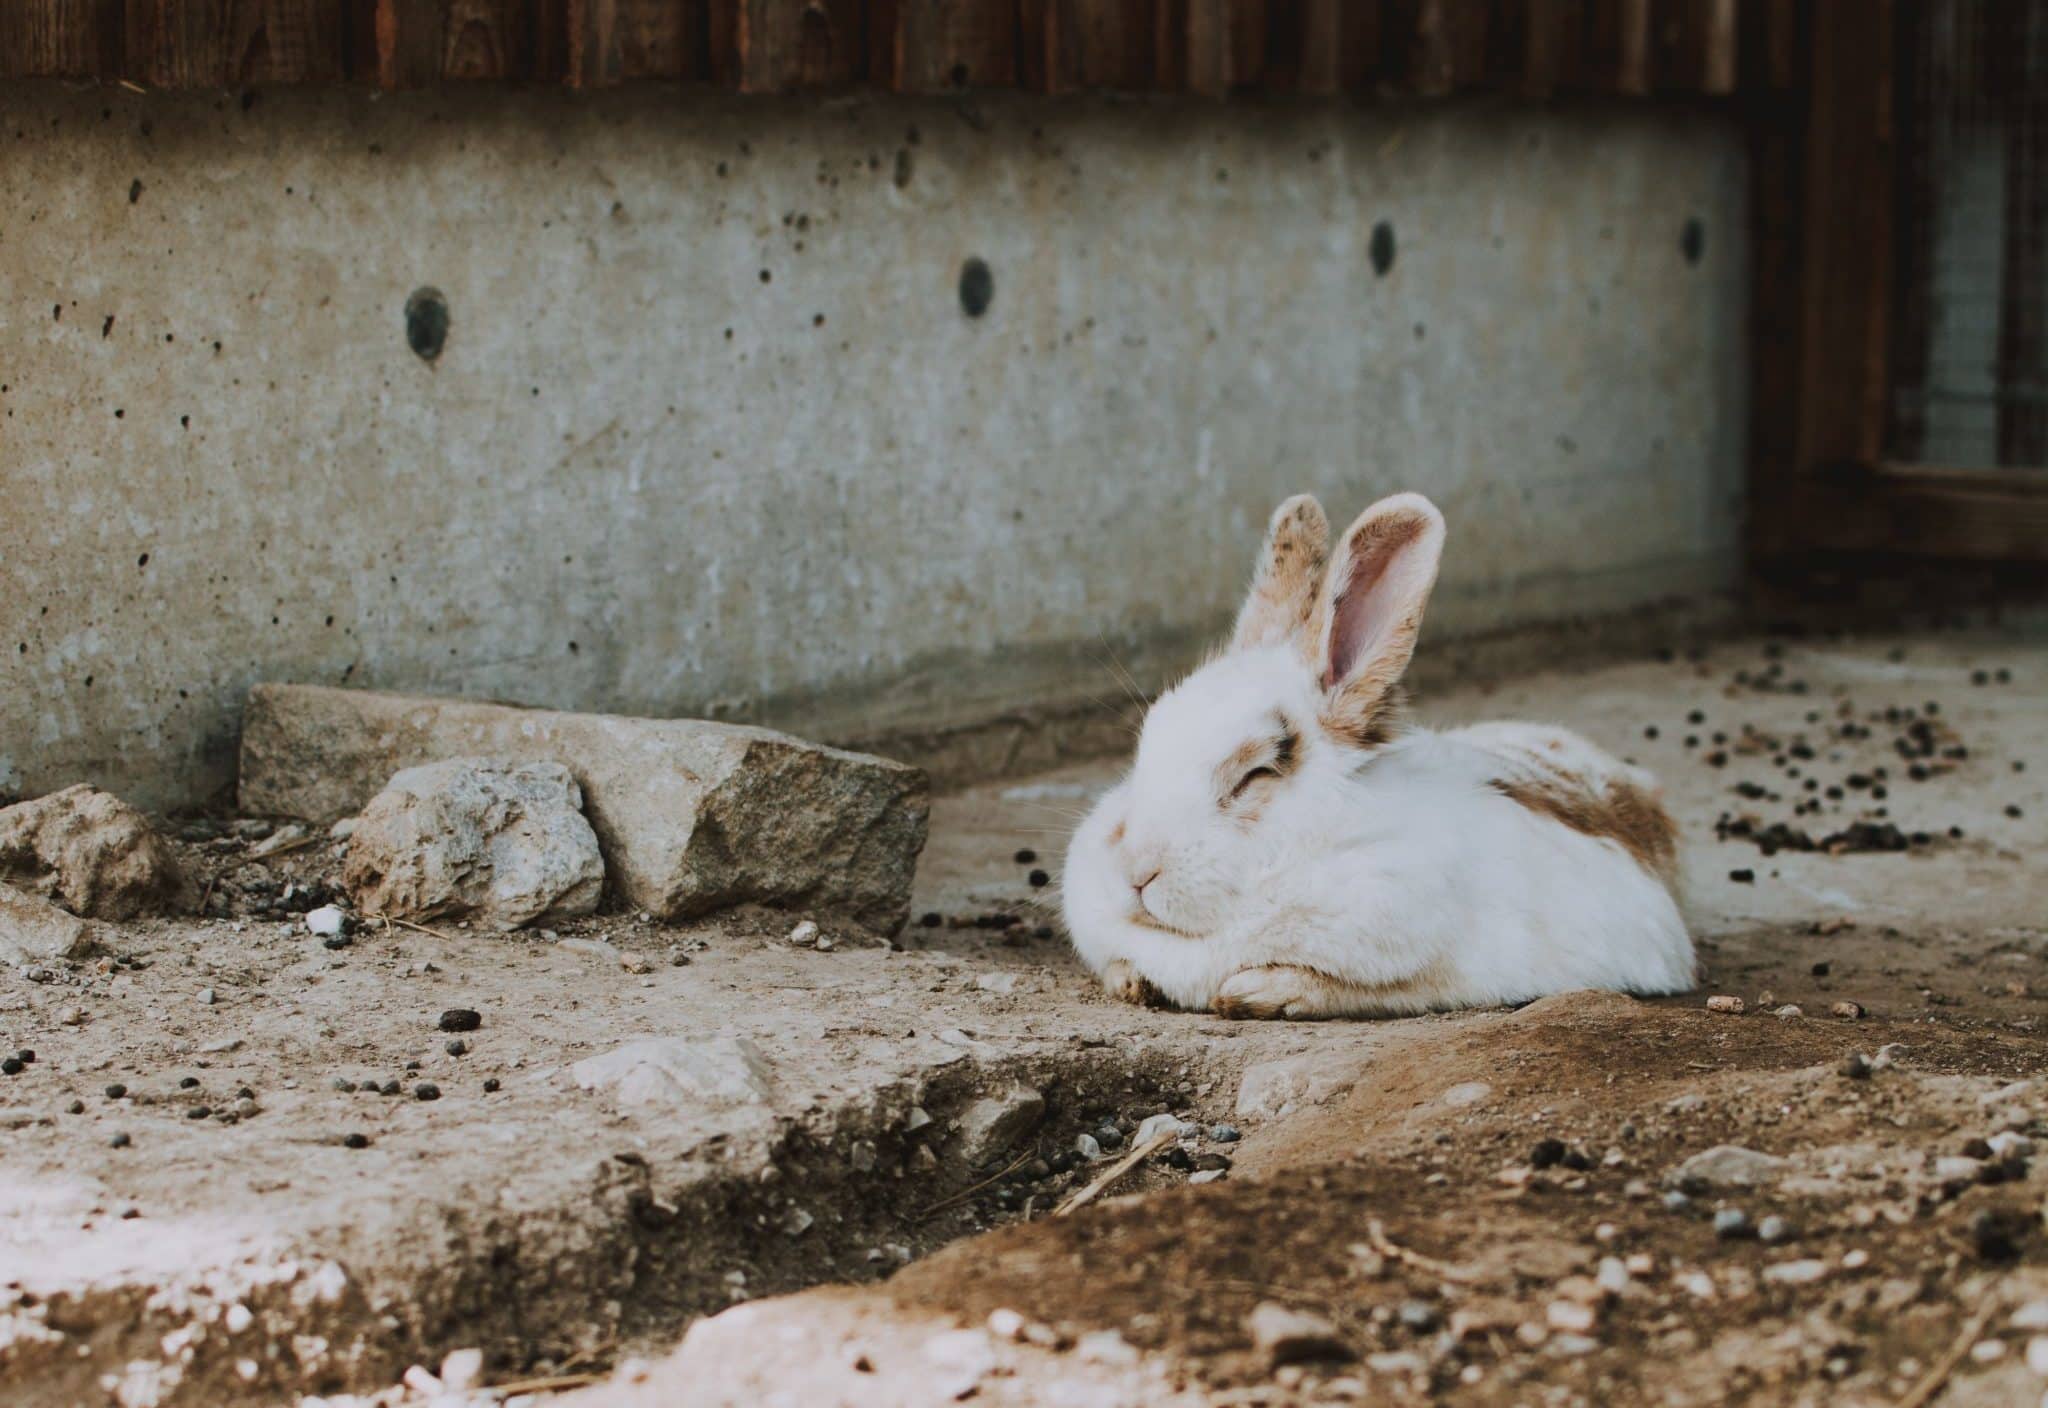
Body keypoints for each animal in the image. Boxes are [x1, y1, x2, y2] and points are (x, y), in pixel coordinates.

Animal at [1061, 491, 1695, 1020]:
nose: (1135, 871)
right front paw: (1129, 981)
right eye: (1147, 742)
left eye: (1254, 775)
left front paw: (1259, 992)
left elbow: (1362, 986)